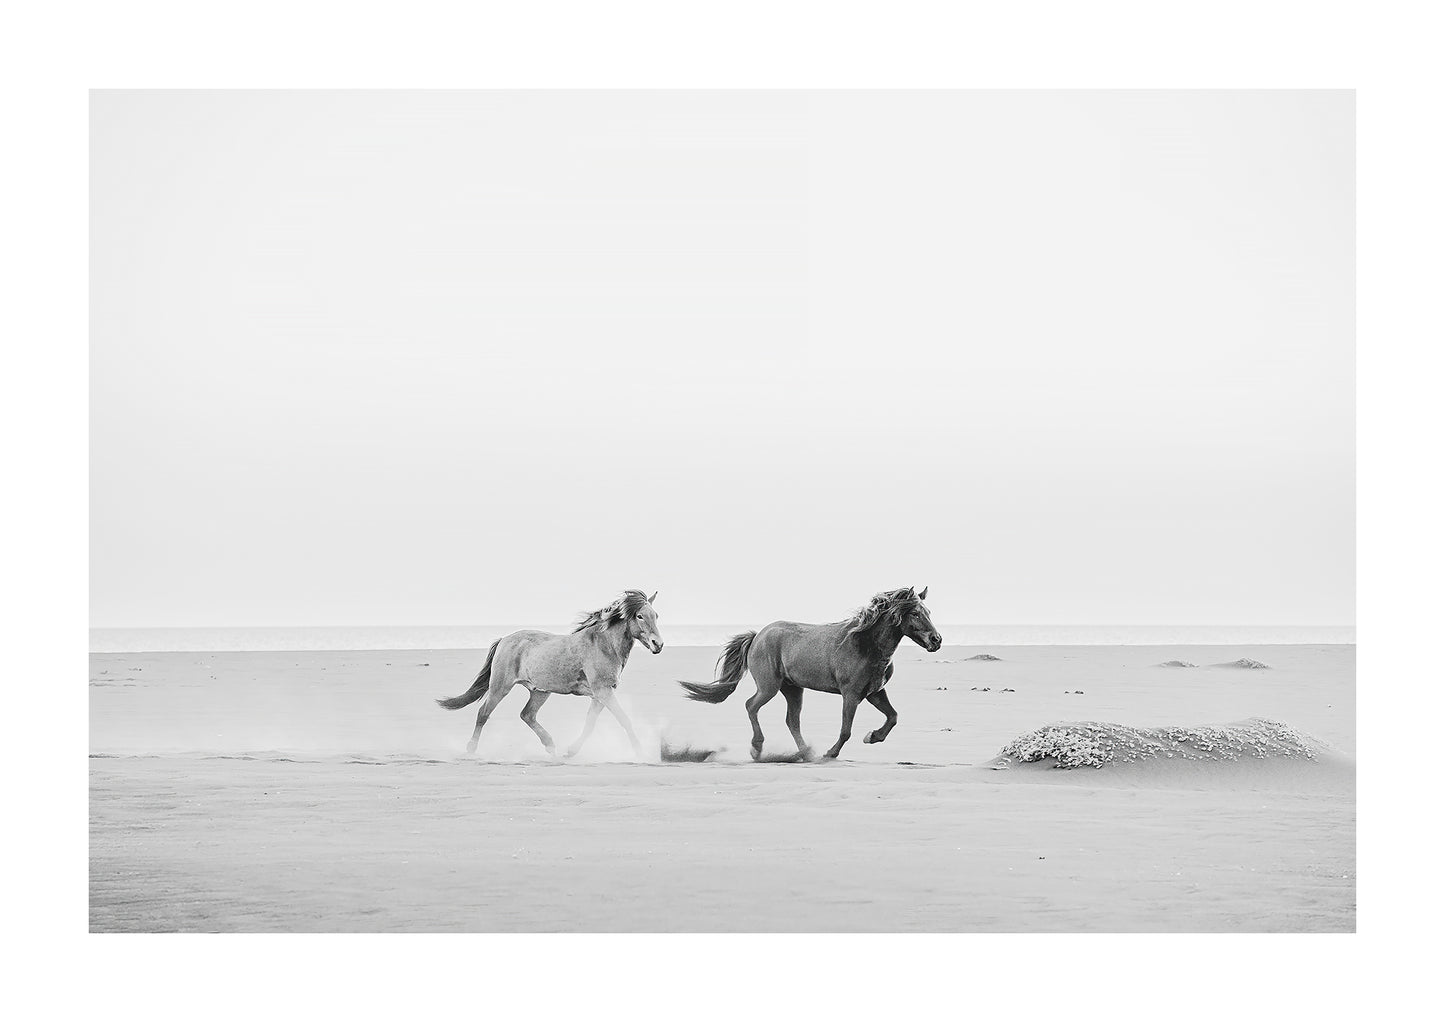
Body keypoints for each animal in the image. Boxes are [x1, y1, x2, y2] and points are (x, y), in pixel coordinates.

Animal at [433, 592, 664, 757]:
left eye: (656, 615)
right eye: (639, 616)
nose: (658, 644)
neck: (603, 645)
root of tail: (504, 639)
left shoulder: (601, 695)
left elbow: (590, 724)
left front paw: (571, 751)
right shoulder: (603, 691)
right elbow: (624, 719)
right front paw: (640, 752)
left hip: (540, 691)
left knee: (527, 715)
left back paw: (551, 746)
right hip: (500, 687)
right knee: (483, 713)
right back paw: (471, 749)